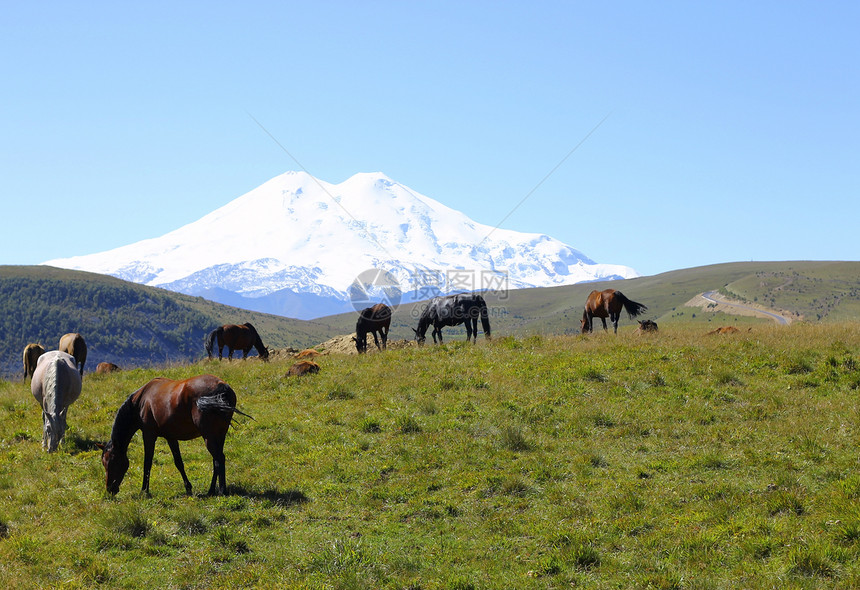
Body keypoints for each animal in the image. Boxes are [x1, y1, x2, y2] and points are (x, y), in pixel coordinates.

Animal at [98, 376, 245, 498]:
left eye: (112, 462)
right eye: (104, 463)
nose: (110, 489)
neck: (141, 401)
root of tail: (221, 387)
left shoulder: (149, 435)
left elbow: (147, 463)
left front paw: (144, 491)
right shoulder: (171, 437)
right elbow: (179, 462)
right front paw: (188, 488)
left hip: (209, 436)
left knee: (219, 458)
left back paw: (221, 491)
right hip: (219, 435)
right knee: (217, 460)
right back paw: (211, 490)